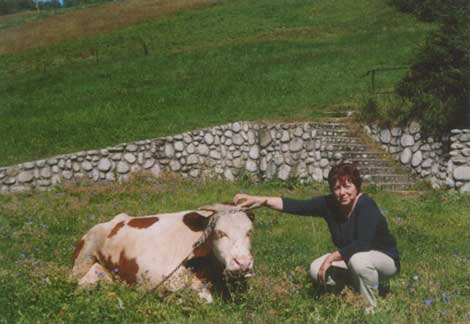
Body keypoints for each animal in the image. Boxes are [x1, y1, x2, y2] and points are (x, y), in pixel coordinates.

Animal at [71, 201, 258, 302]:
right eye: (219, 232)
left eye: (249, 231)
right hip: (85, 255)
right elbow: (206, 299)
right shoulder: (167, 278)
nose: (243, 263)